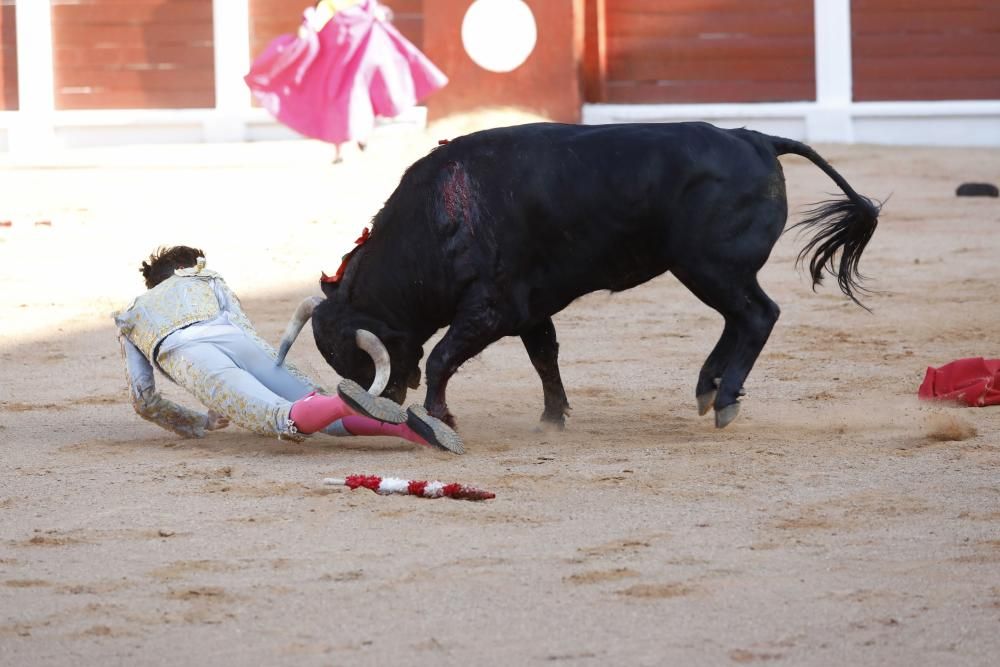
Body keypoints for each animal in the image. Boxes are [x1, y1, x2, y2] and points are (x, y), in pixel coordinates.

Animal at [278, 122, 880, 430]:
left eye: (358, 360)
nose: (380, 401)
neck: (436, 221)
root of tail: (754, 138)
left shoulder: (493, 307)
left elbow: (444, 356)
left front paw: (442, 416)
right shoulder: (529, 308)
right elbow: (545, 355)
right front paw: (553, 417)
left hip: (710, 267)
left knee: (758, 315)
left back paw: (725, 396)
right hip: (709, 270)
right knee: (740, 319)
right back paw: (708, 388)